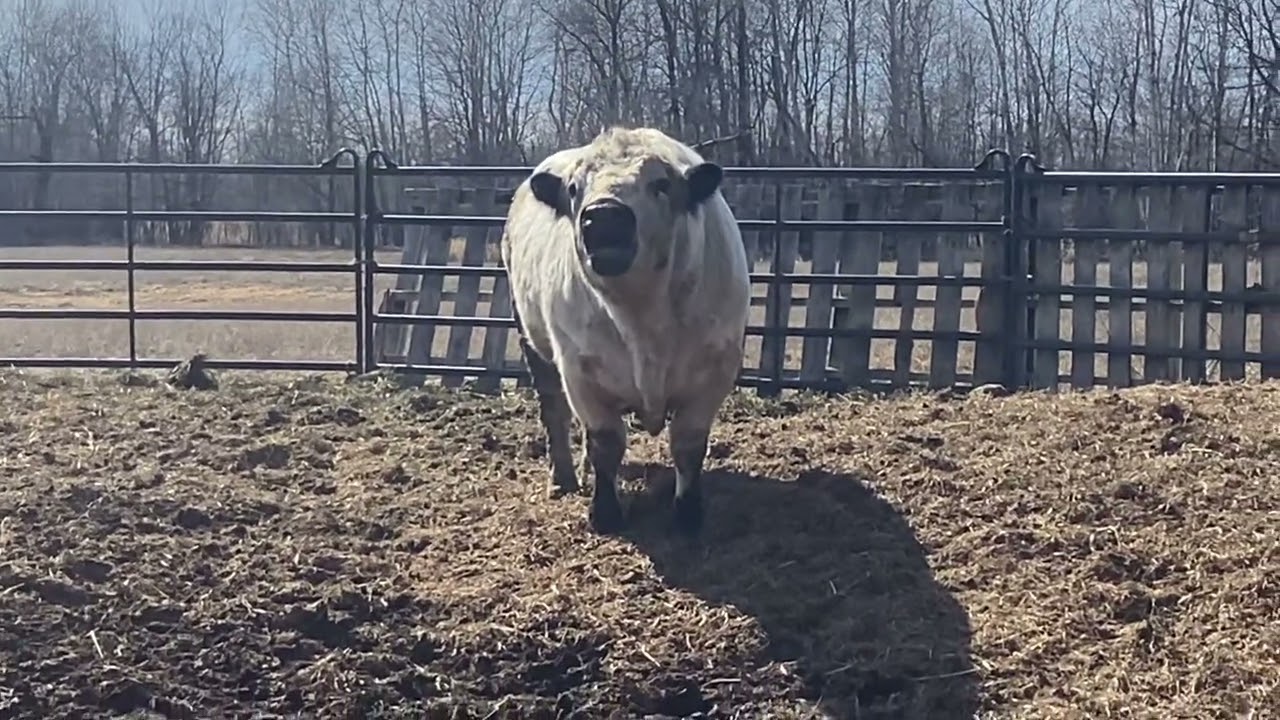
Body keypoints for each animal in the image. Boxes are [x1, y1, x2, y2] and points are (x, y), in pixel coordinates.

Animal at [499, 126, 751, 536]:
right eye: (574, 188)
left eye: (661, 184)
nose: (603, 217)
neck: (641, 316)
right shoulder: (579, 371)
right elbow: (605, 441)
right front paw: (604, 513)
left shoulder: (715, 369)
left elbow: (688, 443)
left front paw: (688, 512)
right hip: (533, 342)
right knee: (554, 410)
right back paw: (564, 478)